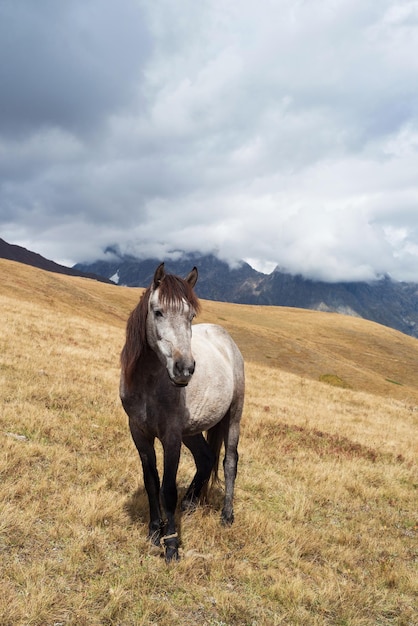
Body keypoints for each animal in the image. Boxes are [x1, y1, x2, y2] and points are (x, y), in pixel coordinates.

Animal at [119, 260, 245, 560]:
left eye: (191, 315)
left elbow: (167, 489)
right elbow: (151, 482)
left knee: (229, 462)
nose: (185, 368)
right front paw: (155, 532)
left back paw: (226, 515)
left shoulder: (171, 437)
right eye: (158, 311)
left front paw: (172, 545)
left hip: (233, 417)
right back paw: (190, 502)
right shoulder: (139, 432)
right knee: (205, 458)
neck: (149, 385)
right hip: (192, 431)